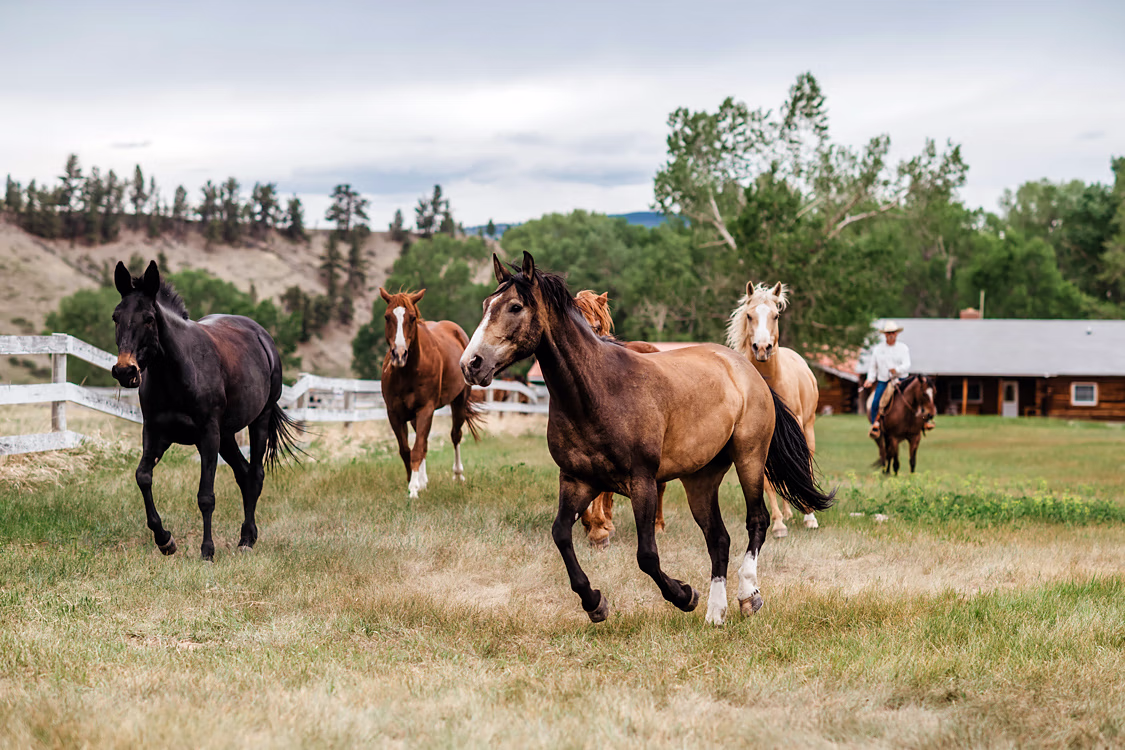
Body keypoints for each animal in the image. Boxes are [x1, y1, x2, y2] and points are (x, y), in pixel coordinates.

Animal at [110, 260, 303, 560]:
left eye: (149, 319)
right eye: (116, 317)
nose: (125, 371)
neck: (176, 373)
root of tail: (263, 337)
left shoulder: (208, 436)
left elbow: (206, 496)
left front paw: (207, 551)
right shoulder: (155, 432)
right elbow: (143, 477)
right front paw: (165, 540)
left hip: (258, 420)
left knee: (255, 475)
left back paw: (246, 539)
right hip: (227, 436)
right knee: (243, 474)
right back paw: (247, 535)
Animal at [379, 288, 483, 497]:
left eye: (412, 318)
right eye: (387, 317)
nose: (399, 355)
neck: (407, 373)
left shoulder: (426, 409)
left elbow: (418, 449)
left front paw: (413, 489)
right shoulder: (394, 414)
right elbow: (406, 450)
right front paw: (413, 481)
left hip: (459, 402)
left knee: (455, 435)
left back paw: (458, 475)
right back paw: (423, 480)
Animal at [727, 281, 821, 538]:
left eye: (775, 315)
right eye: (749, 315)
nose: (762, 348)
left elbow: (802, 465)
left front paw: (810, 516)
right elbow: (768, 482)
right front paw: (778, 524)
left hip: (808, 426)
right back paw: (787, 513)